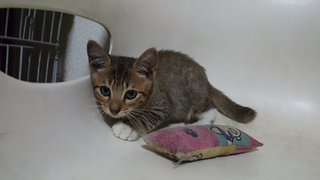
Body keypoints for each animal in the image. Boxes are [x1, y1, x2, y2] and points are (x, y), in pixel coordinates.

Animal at [87, 40, 255, 141]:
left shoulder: (163, 104)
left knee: (210, 112)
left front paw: (127, 127)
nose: (114, 110)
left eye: (130, 94)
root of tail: (205, 79)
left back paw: (193, 125)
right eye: (105, 91)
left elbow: (146, 116)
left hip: (194, 93)